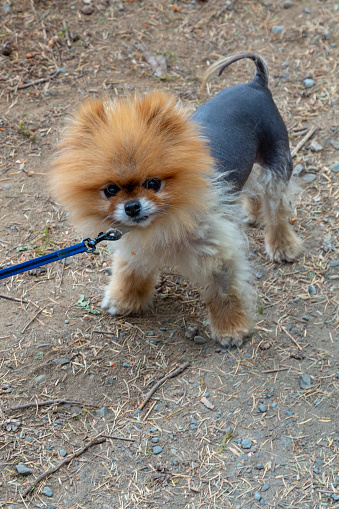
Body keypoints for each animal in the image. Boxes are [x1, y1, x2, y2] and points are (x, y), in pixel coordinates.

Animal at [49, 53, 302, 348]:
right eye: (111, 190)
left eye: (153, 184)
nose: (132, 207)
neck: (167, 218)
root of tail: (256, 83)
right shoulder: (135, 247)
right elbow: (129, 271)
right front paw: (125, 299)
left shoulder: (219, 252)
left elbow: (225, 292)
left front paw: (231, 328)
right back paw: (252, 213)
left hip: (276, 164)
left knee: (278, 207)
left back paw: (282, 245)